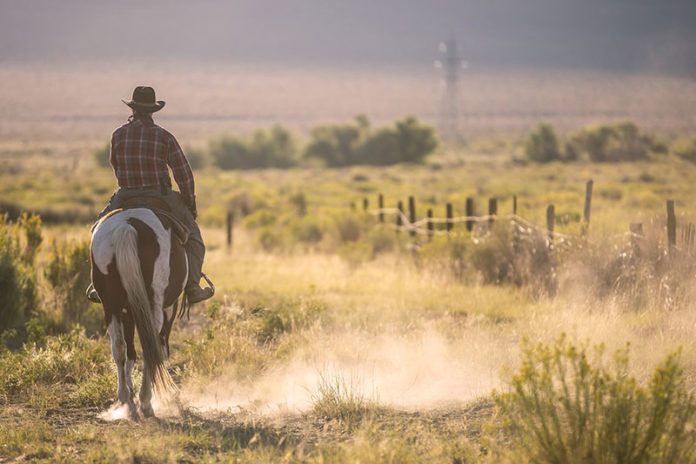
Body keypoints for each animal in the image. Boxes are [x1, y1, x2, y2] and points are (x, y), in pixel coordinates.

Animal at [92, 205, 192, 418]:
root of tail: (127, 225)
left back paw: (125, 401)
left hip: (110, 305)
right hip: (154, 304)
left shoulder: (128, 311)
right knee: (150, 347)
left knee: (119, 347)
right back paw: (146, 402)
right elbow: (160, 348)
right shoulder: (169, 308)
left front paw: (129, 391)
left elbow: (130, 351)